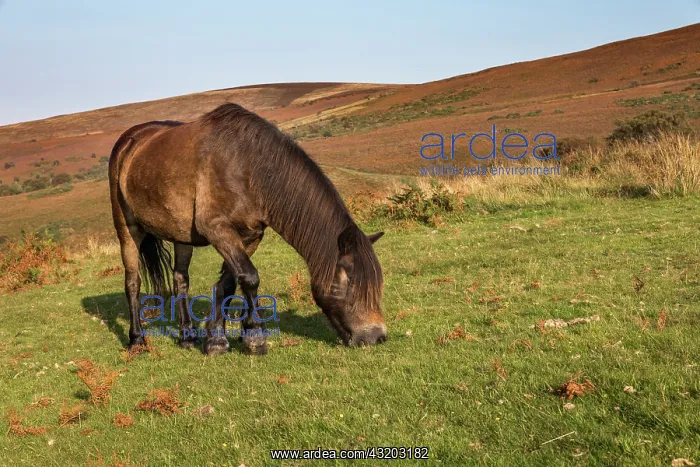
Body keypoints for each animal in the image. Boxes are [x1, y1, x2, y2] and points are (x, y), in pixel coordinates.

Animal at [108, 103, 386, 356]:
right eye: (350, 284)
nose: (376, 336)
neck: (248, 165)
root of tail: (130, 140)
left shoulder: (251, 235)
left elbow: (230, 282)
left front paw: (216, 340)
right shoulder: (217, 229)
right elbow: (250, 278)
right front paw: (254, 338)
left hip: (181, 234)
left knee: (180, 279)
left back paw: (187, 336)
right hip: (127, 228)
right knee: (133, 282)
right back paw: (137, 340)